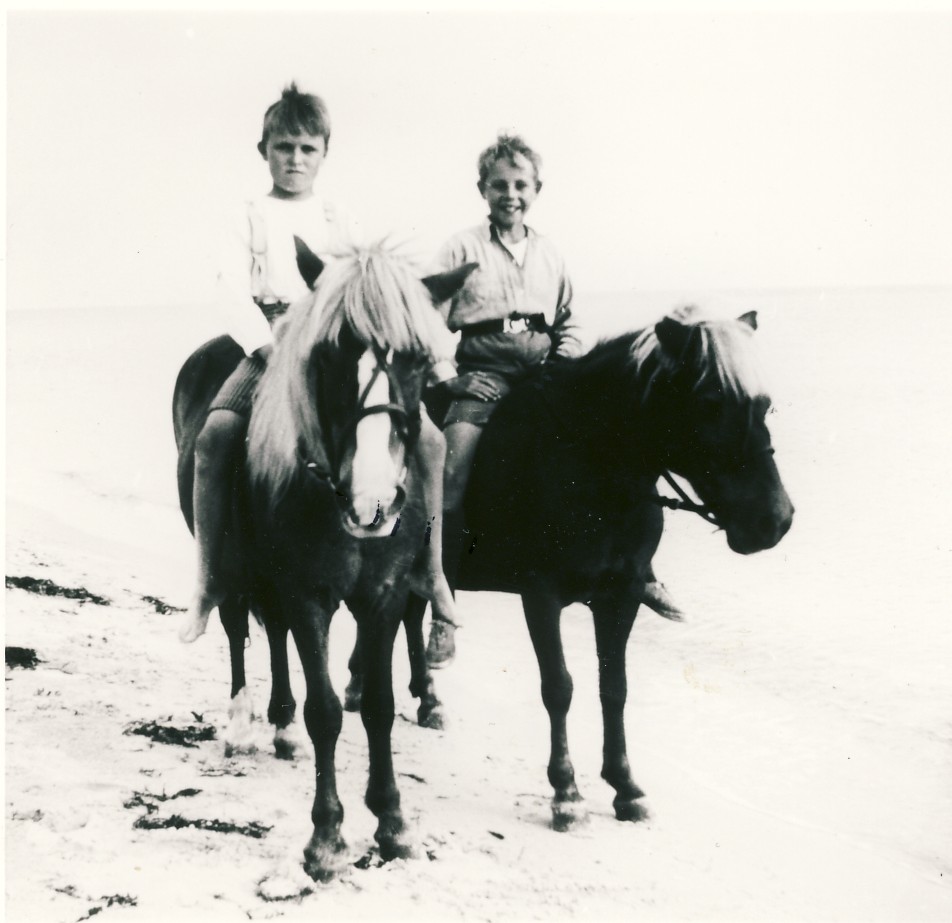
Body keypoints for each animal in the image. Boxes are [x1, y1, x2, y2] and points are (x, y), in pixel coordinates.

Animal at [172, 241, 474, 880]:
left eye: (417, 360)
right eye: (332, 355)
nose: (374, 499)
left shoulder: (383, 596)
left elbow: (379, 706)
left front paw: (393, 823)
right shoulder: (308, 593)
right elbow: (328, 711)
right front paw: (327, 837)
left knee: (273, 634)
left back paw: (281, 724)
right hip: (235, 566)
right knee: (236, 625)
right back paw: (243, 721)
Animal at [348, 305, 794, 830]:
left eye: (764, 405)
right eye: (709, 402)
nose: (775, 520)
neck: (591, 465)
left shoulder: (621, 596)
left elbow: (614, 688)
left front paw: (625, 786)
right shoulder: (541, 596)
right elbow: (559, 687)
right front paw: (566, 792)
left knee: (412, 615)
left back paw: (427, 696)